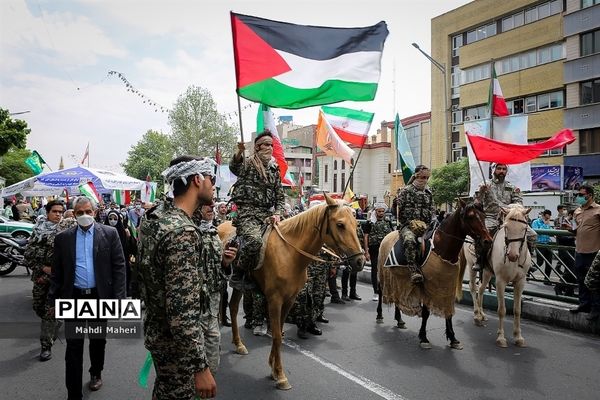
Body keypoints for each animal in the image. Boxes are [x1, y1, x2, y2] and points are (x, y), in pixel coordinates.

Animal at [217, 194, 366, 390]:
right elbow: (277, 336)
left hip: (240, 286)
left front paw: (273, 368)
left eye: (356, 224)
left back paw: (238, 344)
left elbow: (278, 332)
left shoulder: (289, 299)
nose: (360, 261)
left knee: (233, 307)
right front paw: (280, 376)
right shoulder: (274, 300)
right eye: (340, 224)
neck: (289, 253)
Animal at [378, 202, 490, 348]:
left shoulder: (448, 285)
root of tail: (387, 235)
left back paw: (399, 320)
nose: (488, 240)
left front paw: (453, 338)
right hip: (382, 271)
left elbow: (448, 312)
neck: (441, 247)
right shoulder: (428, 287)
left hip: (398, 277)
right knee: (381, 291)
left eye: (484, 215)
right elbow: (426, 313)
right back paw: (379, 315)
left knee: (397, 295)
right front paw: (423, 337)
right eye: (470, 216)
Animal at [462, 206, 532, 346]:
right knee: (473, 287)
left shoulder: (520, 282)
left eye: (524, 228)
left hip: (487, 272)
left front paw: (518, 337)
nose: (512, 255)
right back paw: (477, 315)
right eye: (506, 227)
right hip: (472, 265)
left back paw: (482, 314)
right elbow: (501, 310)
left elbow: (517, 310)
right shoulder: (500, 281)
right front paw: (501, 338)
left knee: (481, 289)